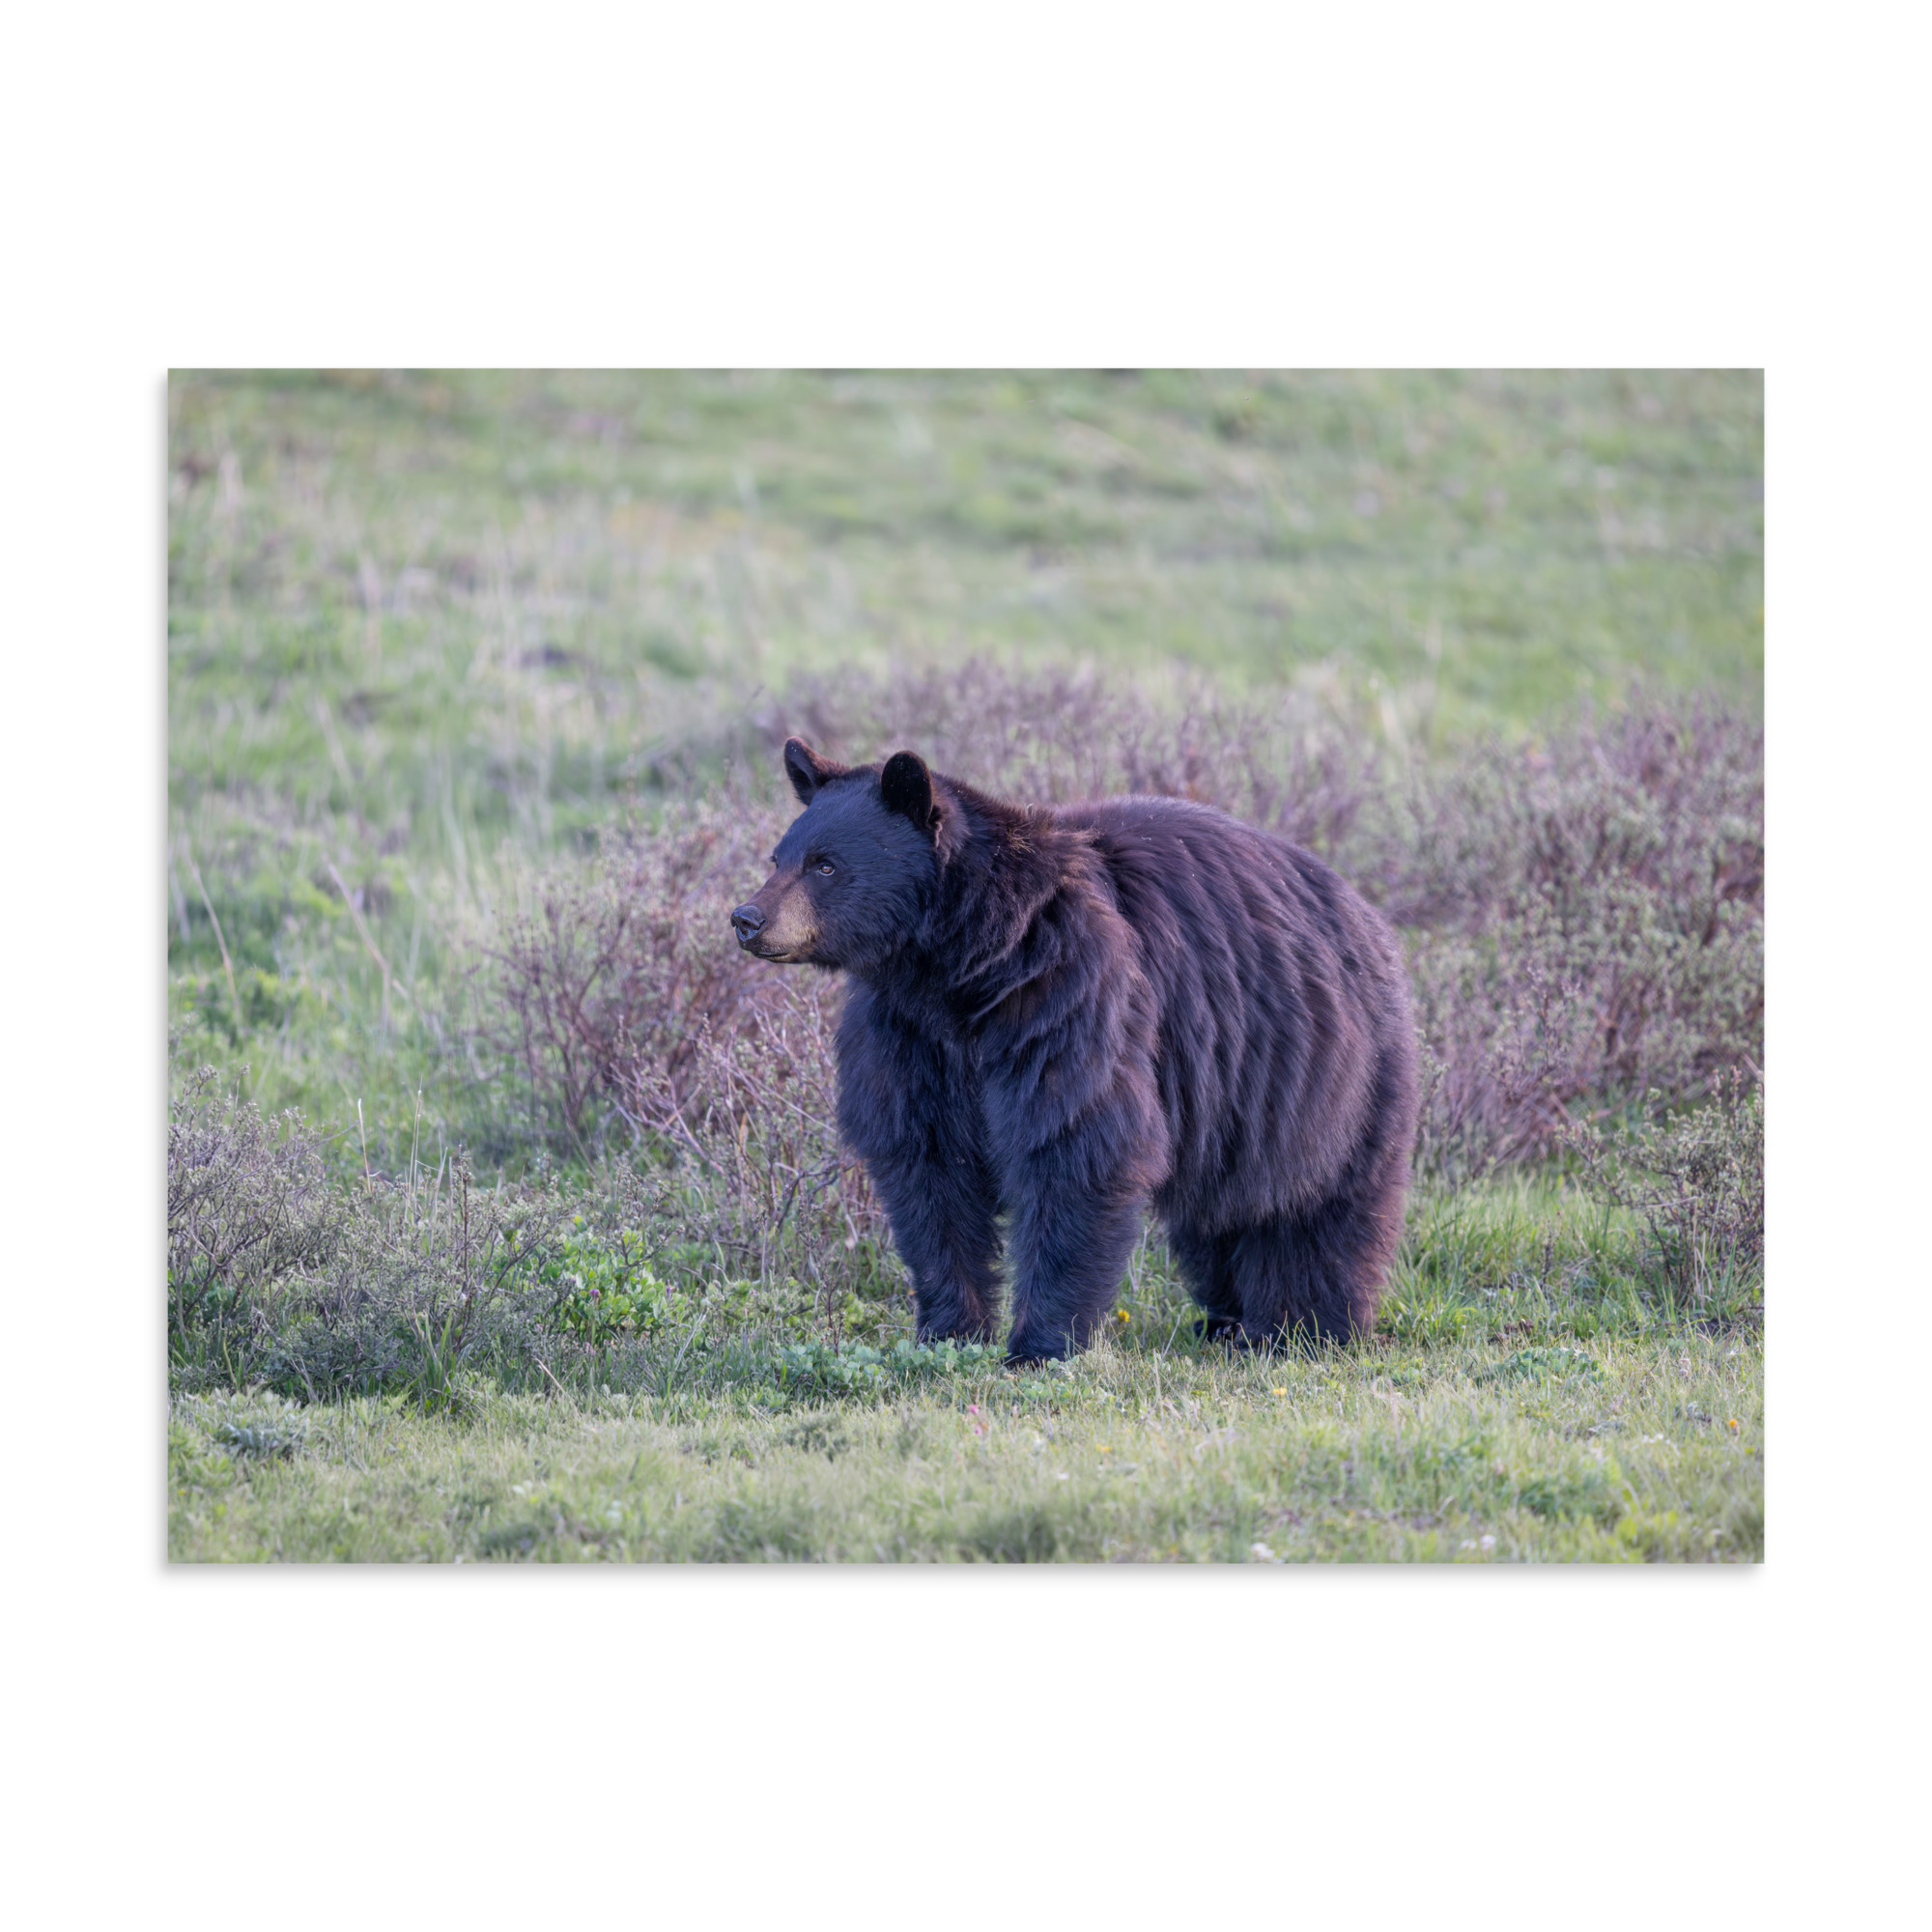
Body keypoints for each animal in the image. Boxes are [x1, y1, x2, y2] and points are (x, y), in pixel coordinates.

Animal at [730, 736, 1419, 1363]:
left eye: (825, 864)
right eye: (778, 856)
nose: (747, 918)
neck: (961, 966)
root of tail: (1366, 913)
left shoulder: (1067, 993)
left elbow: (1075, 1143)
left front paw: (1039, 1345)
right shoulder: (908, 1035)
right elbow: (927, 1167)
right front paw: (948, 1331)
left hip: (1328, 1072)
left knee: (1319, 1207)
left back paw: (1302, 1327)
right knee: (1219, 1214)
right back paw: (1226, 1320)